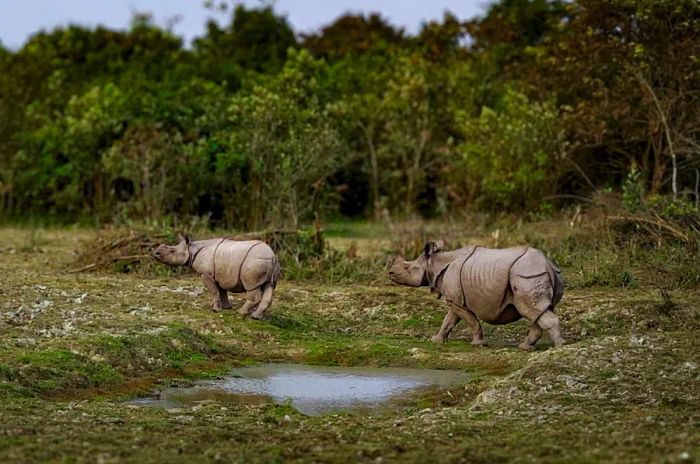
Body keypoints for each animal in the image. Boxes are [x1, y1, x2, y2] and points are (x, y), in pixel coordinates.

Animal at [388, 241, 564, 350]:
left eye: (407, 268)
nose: (390, 273)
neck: (435, 263)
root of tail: (547, 265)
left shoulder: (456, 301)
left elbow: (470, 321)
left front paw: (477, 344)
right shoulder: (455, 299)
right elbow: (448, 320)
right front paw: (436, 340)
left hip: (526, 275)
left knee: (530, 310)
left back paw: (558, 346)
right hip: (545, 274)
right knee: (539, 311)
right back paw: (526, 347)